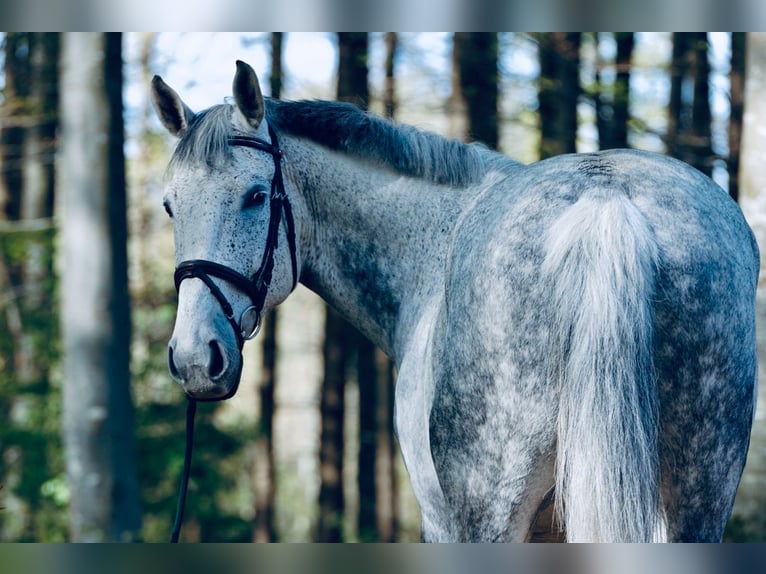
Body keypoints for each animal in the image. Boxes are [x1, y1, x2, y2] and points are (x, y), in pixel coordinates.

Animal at [152, 60, 760, 544]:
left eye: (256, 196)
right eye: (169, 206)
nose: (195, 357)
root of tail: (606, 199)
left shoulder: (444, 521)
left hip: (489, 511)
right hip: (697, 501)